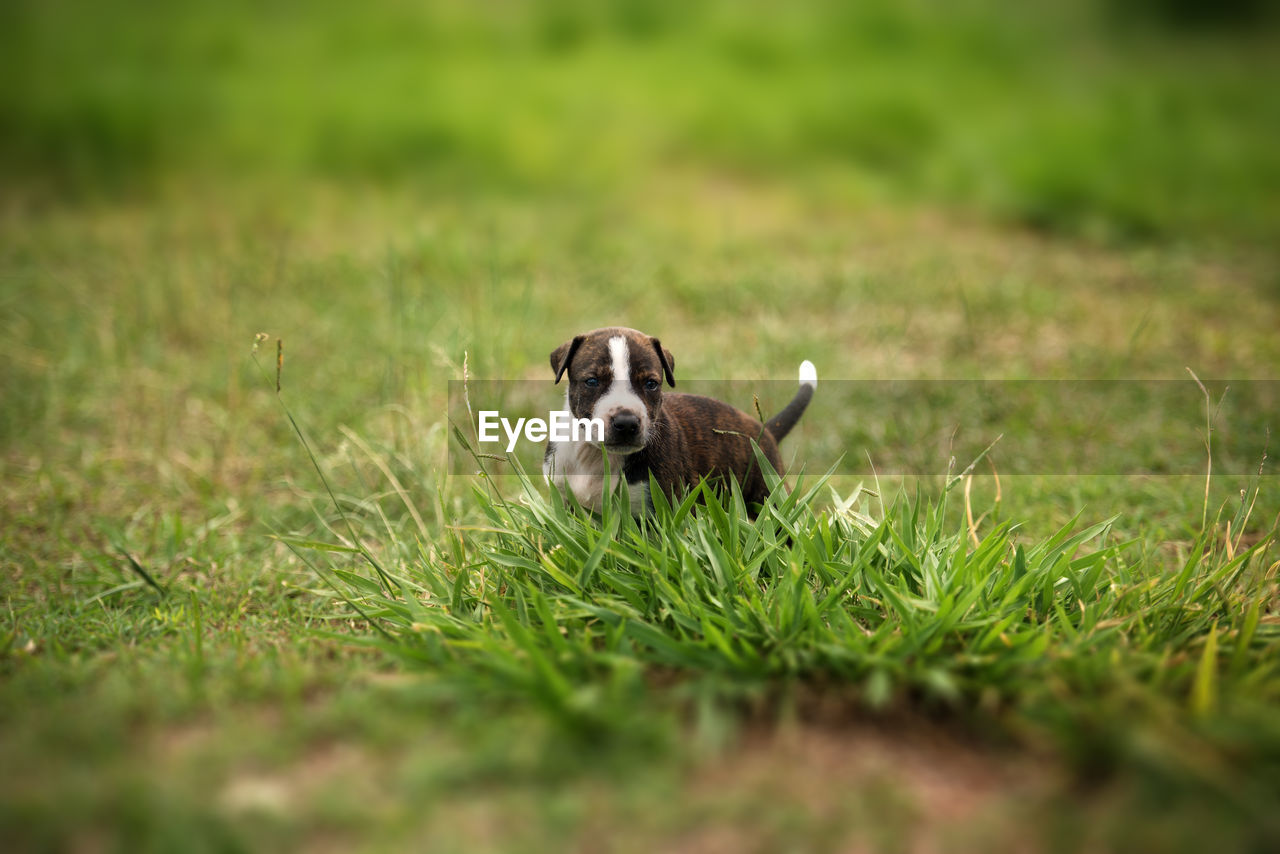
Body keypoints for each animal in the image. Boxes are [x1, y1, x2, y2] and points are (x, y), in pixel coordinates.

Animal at [545, 327, 814, 514]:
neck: (595, 455)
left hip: (768, 493)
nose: (627, 423)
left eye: (651, 384)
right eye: (592, 381)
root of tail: (764, 431)